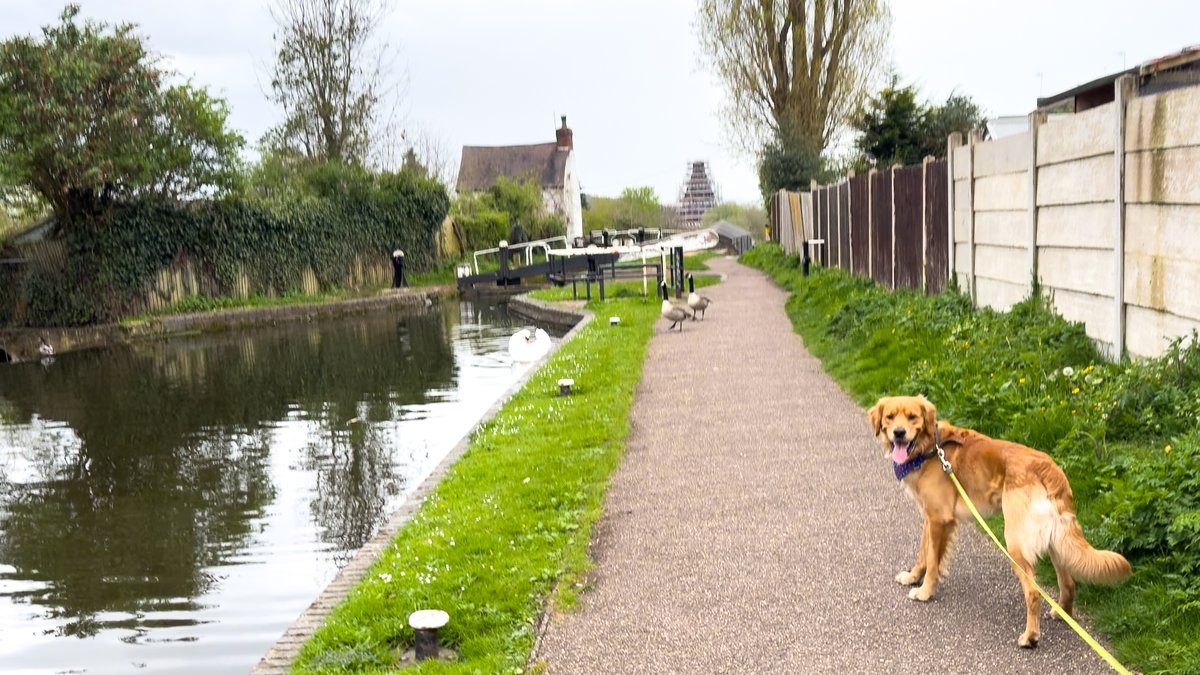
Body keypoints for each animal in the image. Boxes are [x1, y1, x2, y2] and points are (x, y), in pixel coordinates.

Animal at [868, 393, 1128, 648]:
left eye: (913, 417)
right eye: (890, 417)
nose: (899, 433)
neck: (929, 448)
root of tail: (1048, 468)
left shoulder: (939, 519)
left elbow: (932, 561)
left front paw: (925, 591)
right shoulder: (930, 518)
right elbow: (923, 553)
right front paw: (913, 577)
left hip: (1015, 542)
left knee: (1034, 592)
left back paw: (1030, 636)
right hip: (1056, 541)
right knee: (1068, 583)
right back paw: (1061, 613)